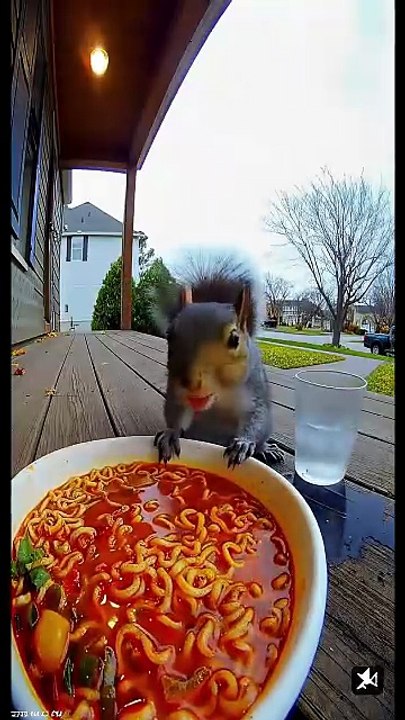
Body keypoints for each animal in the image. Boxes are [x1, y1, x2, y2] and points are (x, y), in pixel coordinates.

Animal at [153, 253, 284, 468]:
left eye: (234, 339)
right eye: (169, 335)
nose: (192, 383)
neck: (219, 397)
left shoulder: (254, 391)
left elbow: (257, 419)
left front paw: (243, 443)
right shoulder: (176, 390)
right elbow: (176, 410)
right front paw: (171, 433)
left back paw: (265, 449)